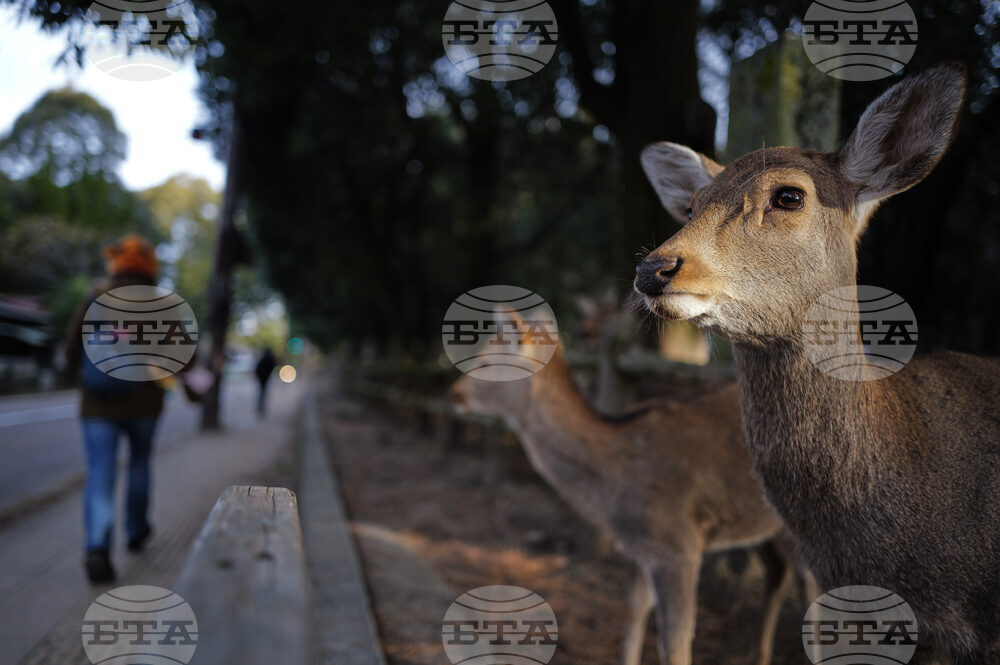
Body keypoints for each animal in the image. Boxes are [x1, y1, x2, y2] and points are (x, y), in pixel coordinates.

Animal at [450, 318, 811, 665]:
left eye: (484, 362)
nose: (453, 393)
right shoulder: (641, 548)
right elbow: (636, 611)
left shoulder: (677, 545)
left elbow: (675, 642)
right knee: (784, 572)